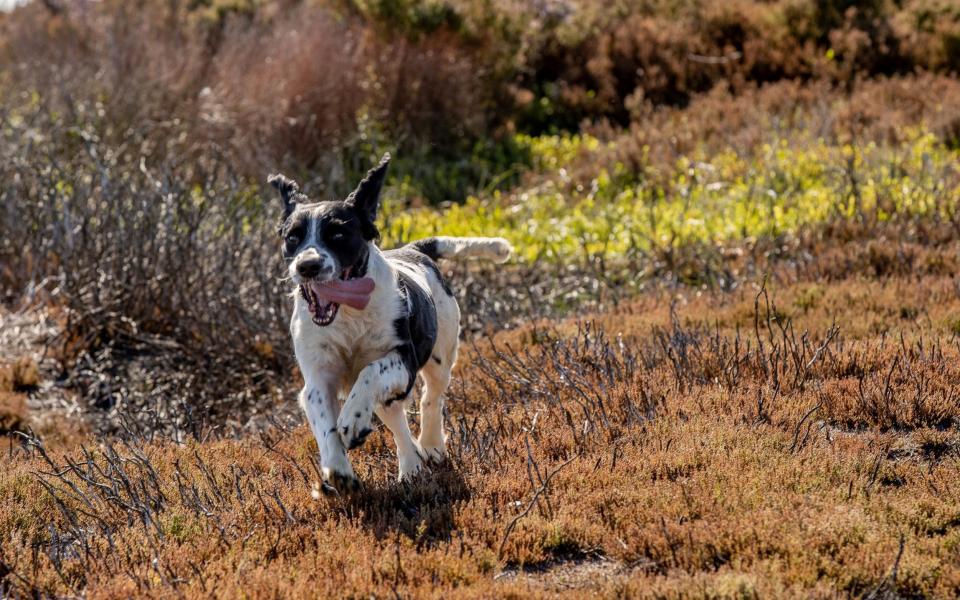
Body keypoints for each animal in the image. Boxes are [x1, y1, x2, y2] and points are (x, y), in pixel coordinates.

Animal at [266, 155, 512, 492]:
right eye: (293, 237)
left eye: (338, 234)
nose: (308, 265)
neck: (349, 315)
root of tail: (414, 249)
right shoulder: (318, 377)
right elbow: (324, 421)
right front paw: (337, 469)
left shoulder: (403, 360)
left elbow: (370, 372)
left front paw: (353, 419)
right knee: (395, 417)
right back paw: (411, 465)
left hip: (441, 356)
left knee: (430, 398)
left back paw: (430, 447)